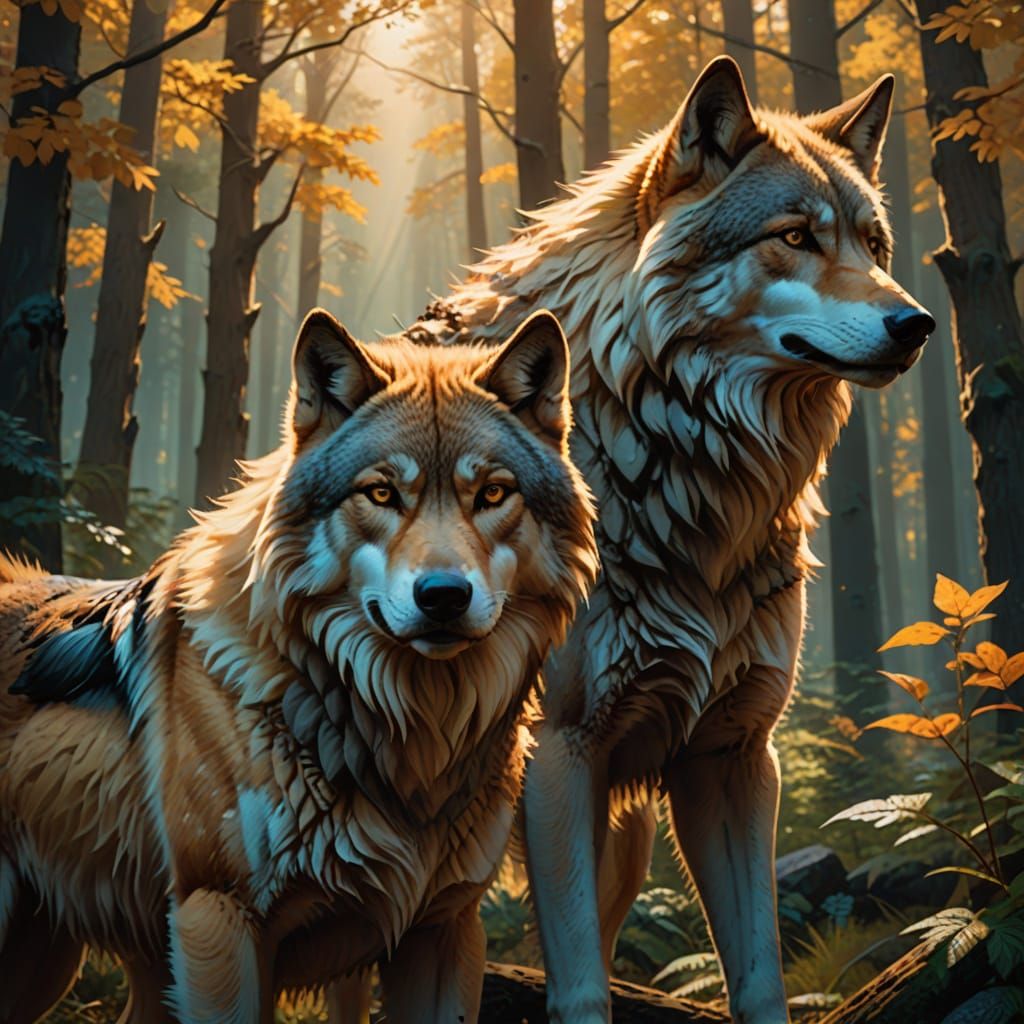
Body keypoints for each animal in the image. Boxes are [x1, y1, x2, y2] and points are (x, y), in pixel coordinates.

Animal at [0, 309, 597, 1023]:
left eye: (492, 493)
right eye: (381, 493)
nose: (443, 596)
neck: (409, 743)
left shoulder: (447, 927)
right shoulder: (218, 917)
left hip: (60, 964)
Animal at [406, 57, 934, 1023]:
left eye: (873, 246)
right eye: (795, 236)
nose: (916, 324)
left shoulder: (733, 756)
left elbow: (758, 979)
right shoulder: (559, 756)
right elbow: (581, 991)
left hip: (622, 843)